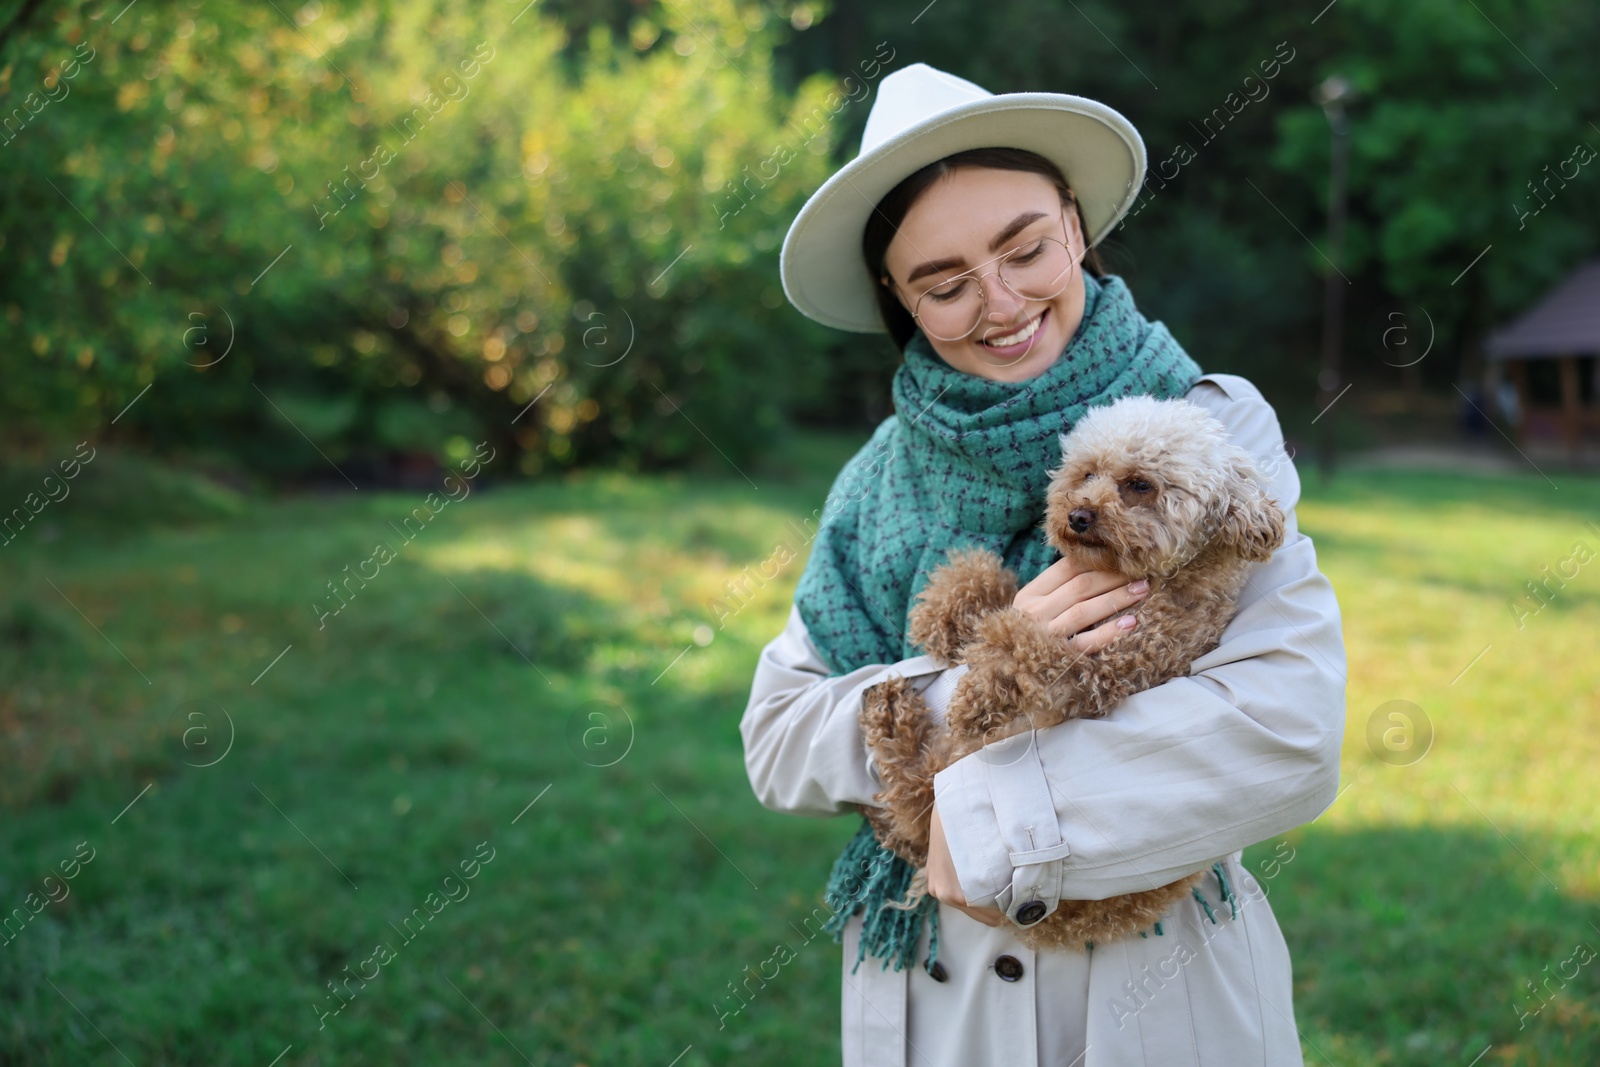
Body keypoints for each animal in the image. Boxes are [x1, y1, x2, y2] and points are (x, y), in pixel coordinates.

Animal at [864, 396, 1286, 953]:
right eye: (1087, 473)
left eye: (1139, 485)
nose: (1078, 515)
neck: (1161, 580)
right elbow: (998, 598)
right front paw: (945, 608)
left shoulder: (1109, 669)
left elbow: (1023, 644)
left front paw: (976, 694)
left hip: (945, 774)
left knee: (912, 797)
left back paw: (891, 715)